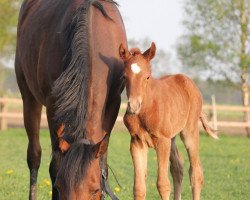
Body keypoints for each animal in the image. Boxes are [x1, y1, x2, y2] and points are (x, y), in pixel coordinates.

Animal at [119, 42, 217, 200]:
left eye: (147, 77)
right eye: (124, 76)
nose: (133, 106)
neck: (147, 109)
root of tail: (189, 82)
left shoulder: (162, 141)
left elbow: (163, 185)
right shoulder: (137, 142)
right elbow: (139, 188)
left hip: (189, 132)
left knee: (195, 172)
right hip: (172, 137)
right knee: (178, 167)